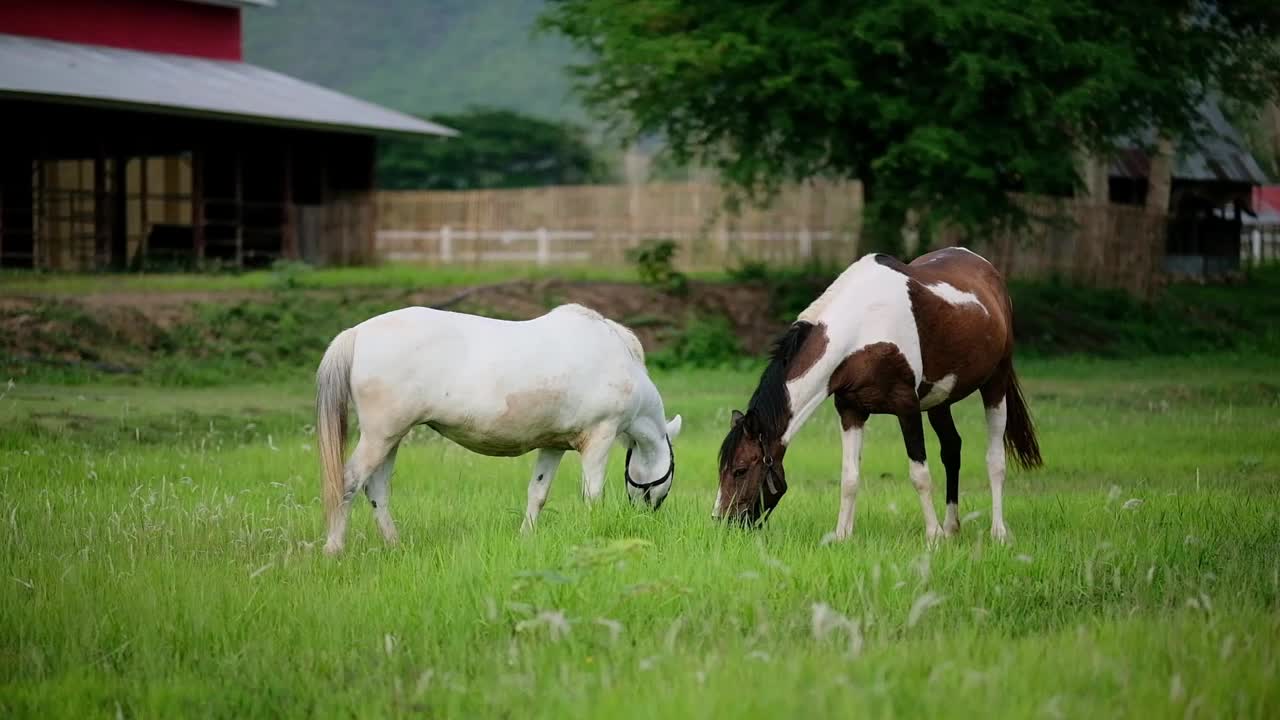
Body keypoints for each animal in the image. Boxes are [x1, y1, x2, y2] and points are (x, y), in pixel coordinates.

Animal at [316, 299, 686, 550]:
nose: (646, 517)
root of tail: (357, 333)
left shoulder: (553, 446)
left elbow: (537, 493)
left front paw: (526, 537)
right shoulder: (600, 437)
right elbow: (593, 494)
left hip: (391, 437)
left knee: (376, 489)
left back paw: (395, 544)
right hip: (380, 436)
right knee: (348, 483)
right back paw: (334, 549)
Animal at [716, 244, 1044, 538]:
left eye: (740, 470)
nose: (722, 522)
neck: (862, 328)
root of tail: (988, 270)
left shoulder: (907, 407)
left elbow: (920, 475)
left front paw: (933, 536)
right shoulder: (851, 411)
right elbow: (849, 477)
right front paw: (842, 535)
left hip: (995, 384)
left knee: (995, 460)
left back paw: (998, 532)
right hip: (939, 400)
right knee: (952, 450)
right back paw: (952, 528)